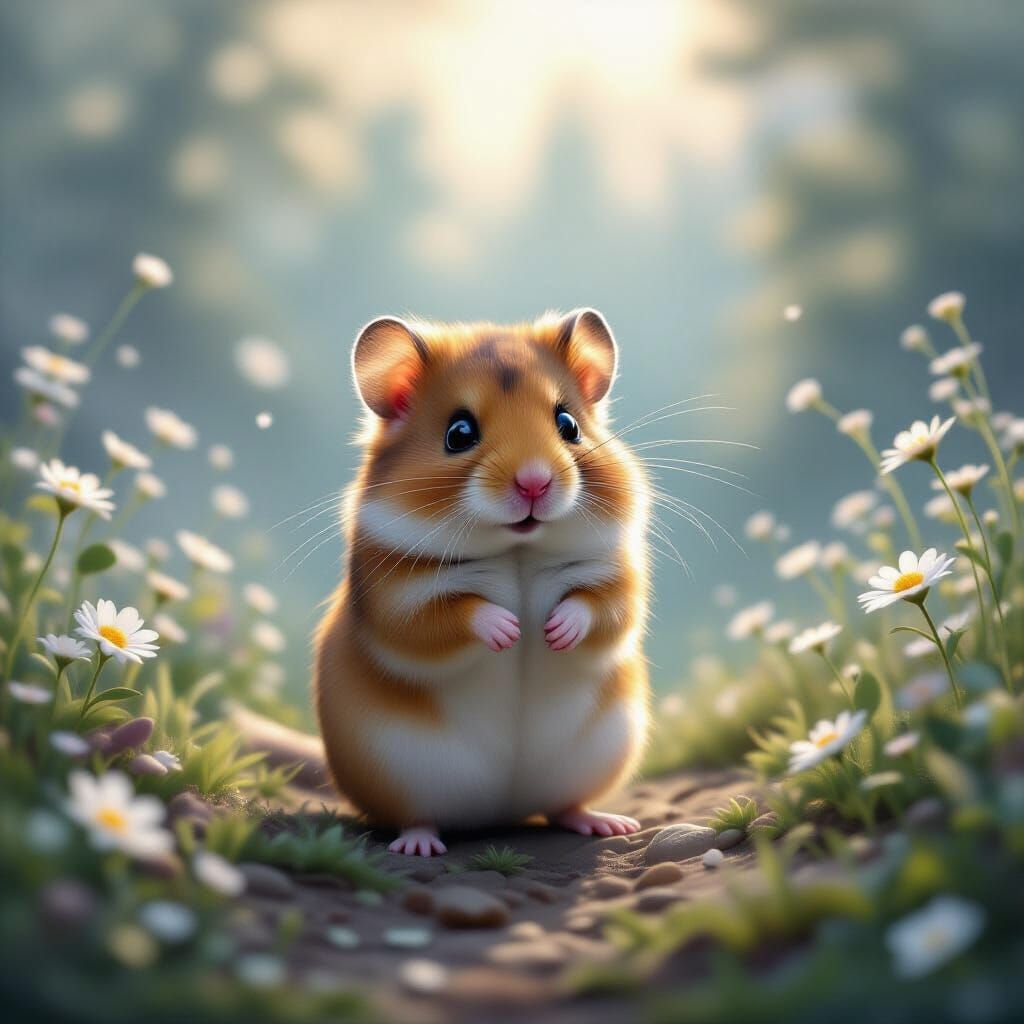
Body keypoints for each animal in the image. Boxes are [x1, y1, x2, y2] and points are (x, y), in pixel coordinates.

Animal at [314, 309, 650, 856]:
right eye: (459, 433)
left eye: (568, 425)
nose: (534, 482)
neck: (517, 548)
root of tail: (502, 814)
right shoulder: (395, 595)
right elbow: (448, 616)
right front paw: (510, 630)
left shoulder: (616, 574)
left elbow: (602, 607)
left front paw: (553, 633)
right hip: (399, 774)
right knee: (416, 816)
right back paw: (419, 845)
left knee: (564, 806)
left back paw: (608, 824)